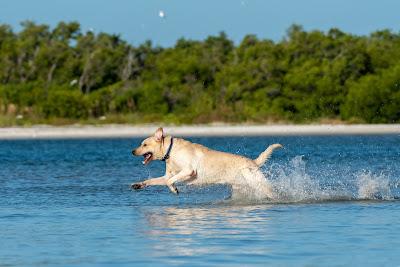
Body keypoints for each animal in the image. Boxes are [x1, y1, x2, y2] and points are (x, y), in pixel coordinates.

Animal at [131, 129, 282, 200]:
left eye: (144, 144)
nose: (132, 151)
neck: (170, 150)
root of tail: (253, 161)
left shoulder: (188, 170)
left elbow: (170, 181)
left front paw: (174, 189)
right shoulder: (167, 175)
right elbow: (154, 180)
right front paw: (138, 184)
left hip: (256, 181)